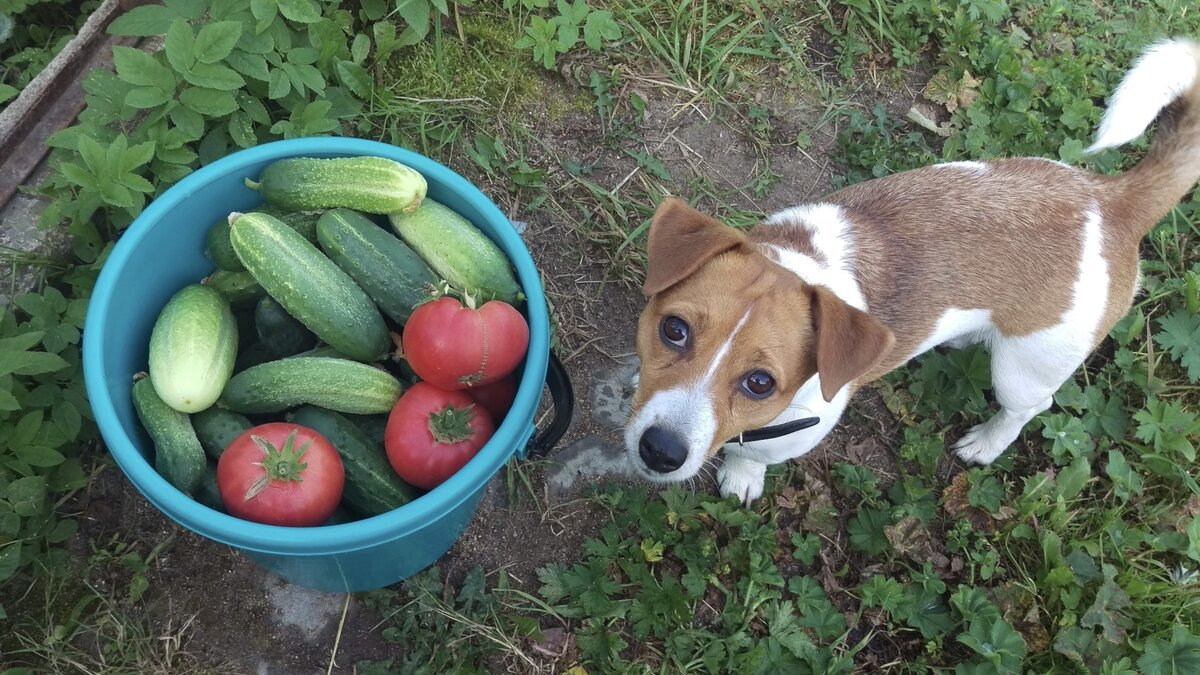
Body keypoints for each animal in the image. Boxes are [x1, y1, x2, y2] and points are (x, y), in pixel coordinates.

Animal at [624, 36, 1200, 499]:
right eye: (673, 330)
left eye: (761, 384)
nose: (660, 450)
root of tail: (1111, 201)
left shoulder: (791, 433)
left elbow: (750, 453)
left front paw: (741, 476)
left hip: (1025, 368)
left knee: (1030, 408)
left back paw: (988, 442)